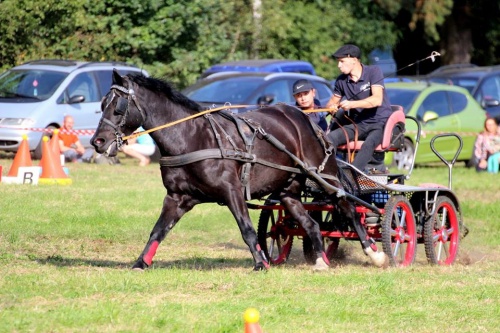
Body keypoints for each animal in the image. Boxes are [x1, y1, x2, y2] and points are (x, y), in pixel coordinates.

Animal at [92, 69, 384, 270]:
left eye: (117, 106)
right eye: (102, 104)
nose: (98, 141)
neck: (192, 136)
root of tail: (303, 117)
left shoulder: (231, 191)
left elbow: (246, 228)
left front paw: (261, 263)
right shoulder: (177, 198)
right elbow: (158, 230)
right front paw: (141, 262)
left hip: (325, 176)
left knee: (347, 208)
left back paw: (374, 252)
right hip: (288, 191)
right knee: (310, 223)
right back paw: (322, 260)